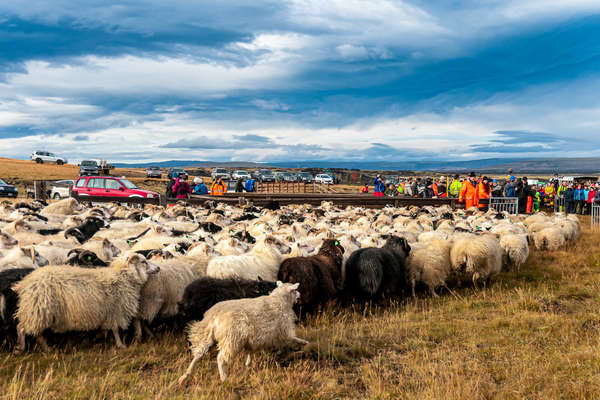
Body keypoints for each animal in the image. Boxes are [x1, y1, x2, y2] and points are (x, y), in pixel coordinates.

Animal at [14, 255, 159, 352]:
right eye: (143, 261)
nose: (158, 268)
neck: (124, 277)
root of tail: (25, 283)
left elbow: (109, 329)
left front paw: (101, 338)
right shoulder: (116, 310)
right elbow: (115, 329)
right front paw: (120, 345)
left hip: (38, 311)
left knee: (34, 332)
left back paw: (46, 348)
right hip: (38, 310)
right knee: (22, 328)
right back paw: (21, 348)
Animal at [177, 282, 310, 384]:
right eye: (295, 290)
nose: (300, 294)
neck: (280, 300)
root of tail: (214, 315)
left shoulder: (252, 338)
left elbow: (250, 351)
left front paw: (248, 364)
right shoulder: (284, 329)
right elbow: (292, 338)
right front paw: (304, 343)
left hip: (206, 335)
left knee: (198, 354)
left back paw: (185, 376)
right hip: (231, 338)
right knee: (221, 358)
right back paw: (224, 379)